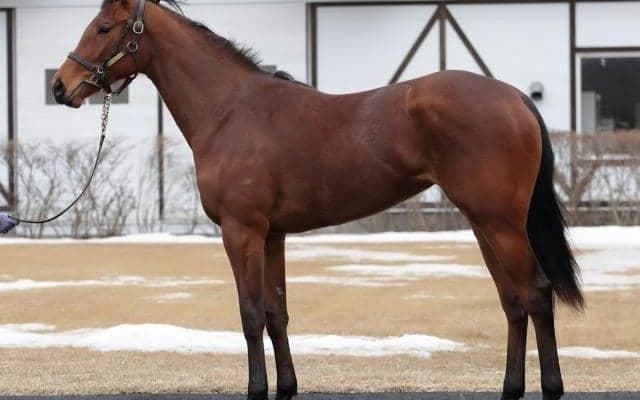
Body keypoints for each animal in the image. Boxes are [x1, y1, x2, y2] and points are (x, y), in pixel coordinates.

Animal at [52, 1, 583, 399]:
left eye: (103, 27)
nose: (60, 86)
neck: (230, 110)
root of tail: (514, 97)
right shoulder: (272, 236)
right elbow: (276, 313)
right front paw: (286, 387)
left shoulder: (241, 232)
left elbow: (250, 314)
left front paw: (257, 389)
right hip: (483, 223)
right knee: (513, 302)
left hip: (500, 224)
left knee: (536, 294)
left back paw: (551, 388)